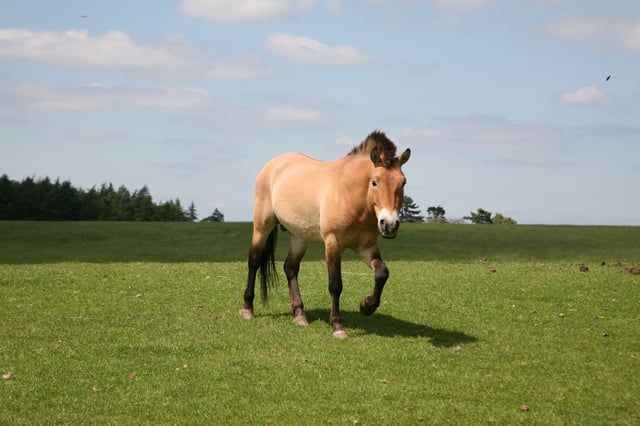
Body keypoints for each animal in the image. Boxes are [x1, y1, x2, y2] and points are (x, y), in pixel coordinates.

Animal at [240, 131, 411, 338]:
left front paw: (367, 305)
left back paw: (299, 315)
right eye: (374, 182)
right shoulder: (333, 243)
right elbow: (335, 284)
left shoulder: (366, 246)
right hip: (262, 226)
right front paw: (337, 326)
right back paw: (247, 309)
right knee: (254, 261)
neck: (350, 196)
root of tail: (274, 163)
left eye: (403, 182)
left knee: (290, 267)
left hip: (298, 235)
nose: (390, 225)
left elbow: (381, 273)